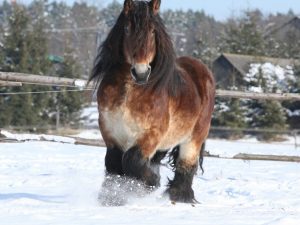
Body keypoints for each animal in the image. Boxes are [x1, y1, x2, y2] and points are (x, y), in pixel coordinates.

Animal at [89, 0, 216, 204]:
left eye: (152, 31)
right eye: (127, 28)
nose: (140, 73)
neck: (130, 91)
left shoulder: (151, 135)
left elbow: (132, 160)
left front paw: (150, 184)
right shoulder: (111, 133)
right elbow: (114, 164)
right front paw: (113, 199)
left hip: (193, 139)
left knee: (186, 167)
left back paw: (179, 197)